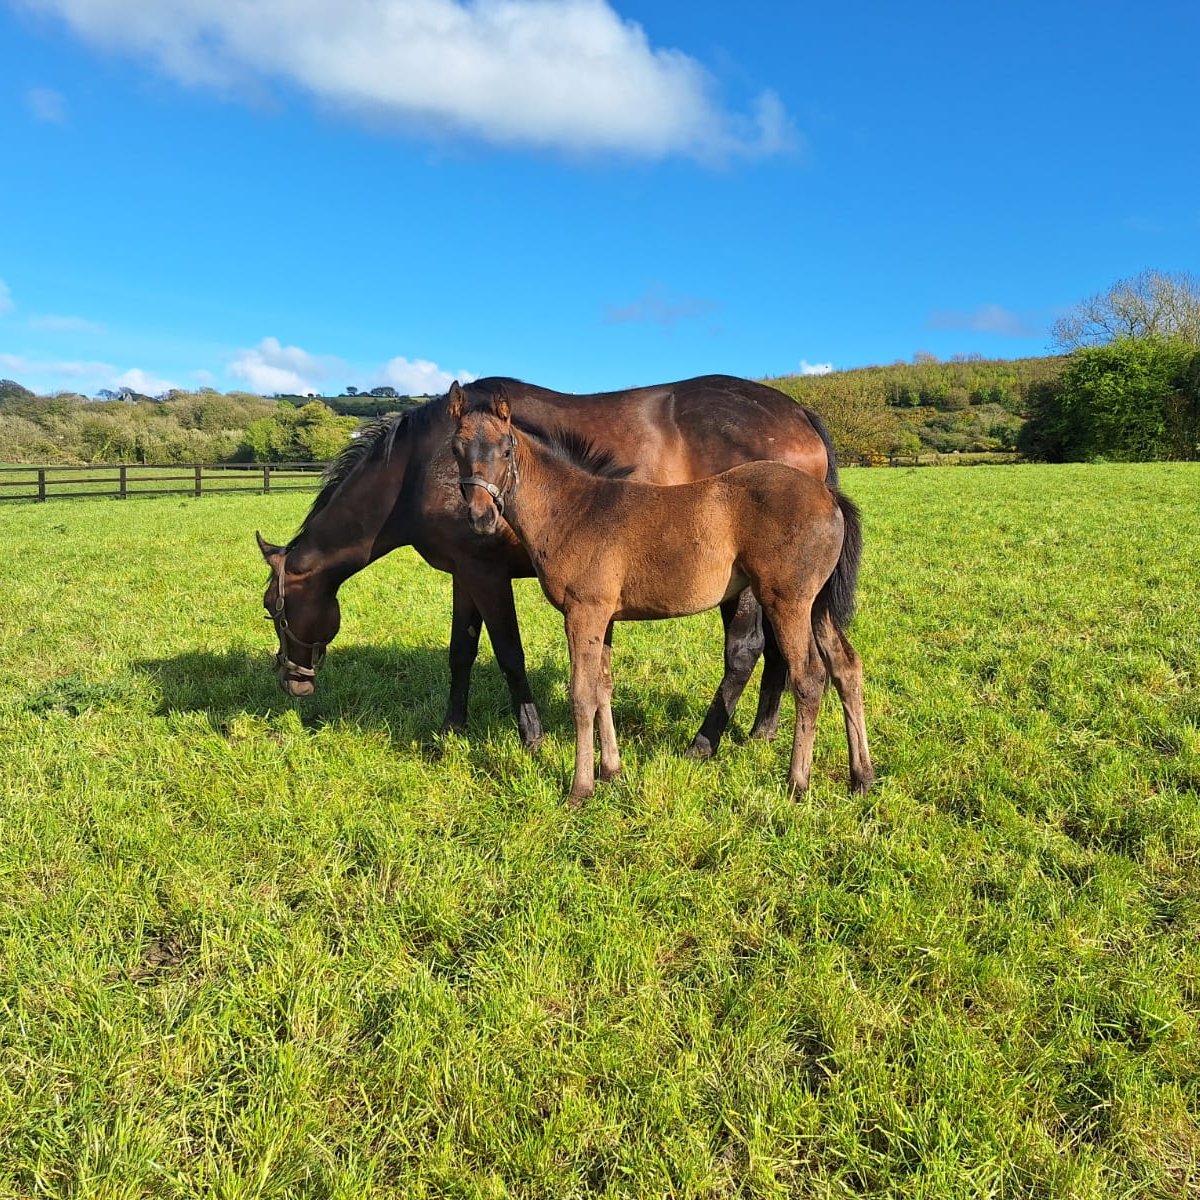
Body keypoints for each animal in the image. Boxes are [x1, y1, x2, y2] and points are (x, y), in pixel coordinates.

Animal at [451, 384, 873, 806]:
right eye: (456, 449)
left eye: (506, 450)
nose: (481, 517)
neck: (574, 510)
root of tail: (830, 496)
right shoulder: (604, 617)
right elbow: (603, 688)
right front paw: (612, 772)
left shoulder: (583, 611)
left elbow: (582, 696)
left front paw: (580, 789)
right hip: (817, 605)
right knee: (846, 667)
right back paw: (862, 777)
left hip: (787, 602)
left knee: (809, 677)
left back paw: (796, 783)